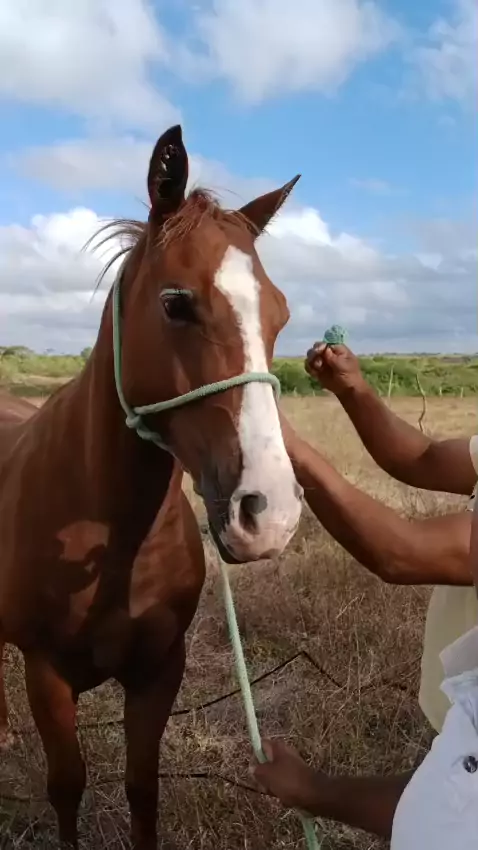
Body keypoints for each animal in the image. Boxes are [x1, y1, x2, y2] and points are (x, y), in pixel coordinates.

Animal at [0, 124, 303, 849]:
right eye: (176, 302)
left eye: (278, 315)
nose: (270, 513)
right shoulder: (46, 673)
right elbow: (67, 787)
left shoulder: (159, 670)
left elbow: (142, 787)